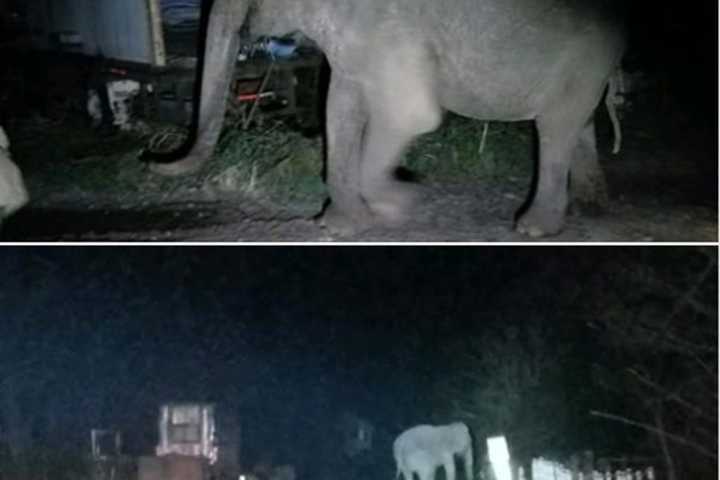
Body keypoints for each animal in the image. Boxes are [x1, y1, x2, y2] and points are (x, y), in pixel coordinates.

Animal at [150, 0, 624, 237]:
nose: (155, 157)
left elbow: (412, 114)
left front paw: (402, 199)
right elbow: (338, 105)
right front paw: (340, 224)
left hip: (583, 61)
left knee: (555, 130)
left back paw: (533, 228)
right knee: (576, 127)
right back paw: (592, 208)